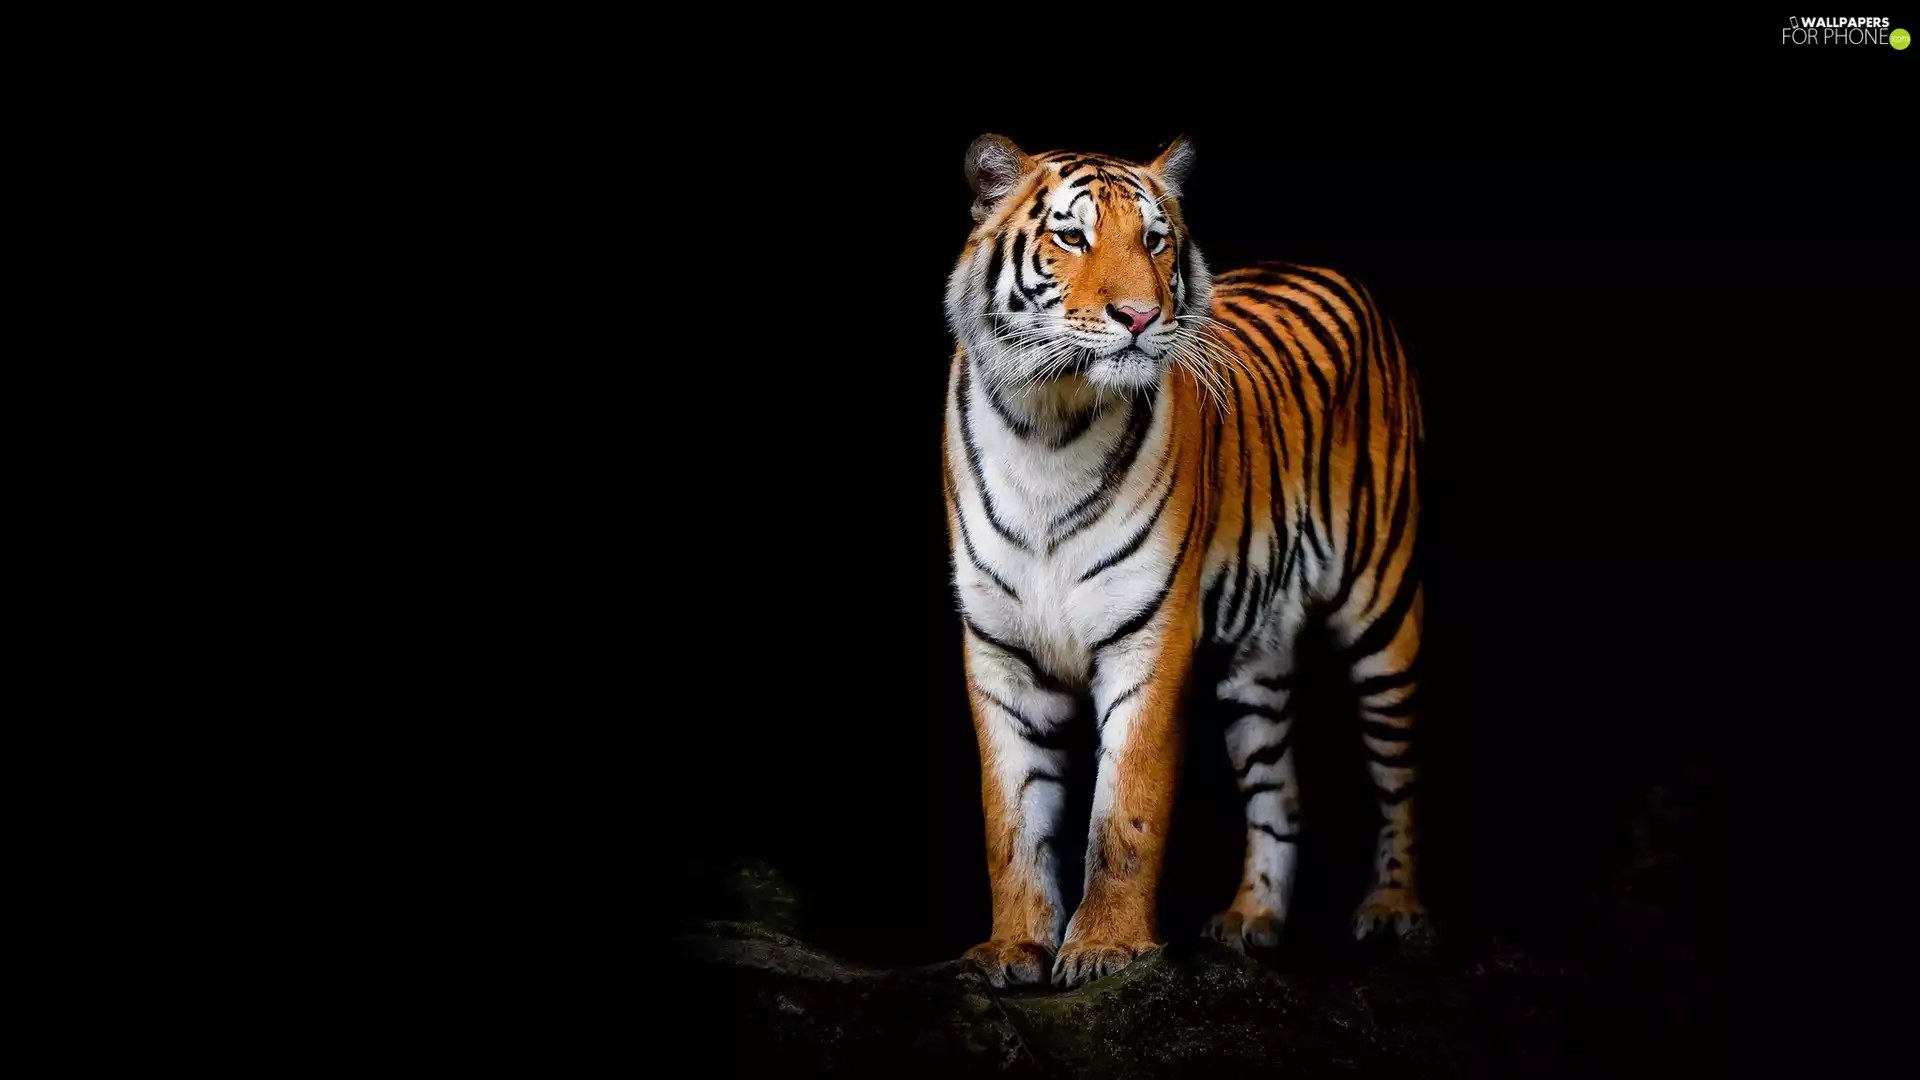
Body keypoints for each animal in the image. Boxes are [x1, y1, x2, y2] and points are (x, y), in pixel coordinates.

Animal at [941, 134, 1430, 989]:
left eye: (1155, 239)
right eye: (1072, 237)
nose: (1139, 317)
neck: (1045, 423)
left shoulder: (1149, 638)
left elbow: (1124, 814)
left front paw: (1104, 948)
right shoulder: (999, 652)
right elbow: (1011, 819)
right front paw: (1010, 951)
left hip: (1383, 614)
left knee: (1398, 776)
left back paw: (1393, 909)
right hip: (1257, 663)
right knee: (1280, 794)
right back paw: (1250, 919)